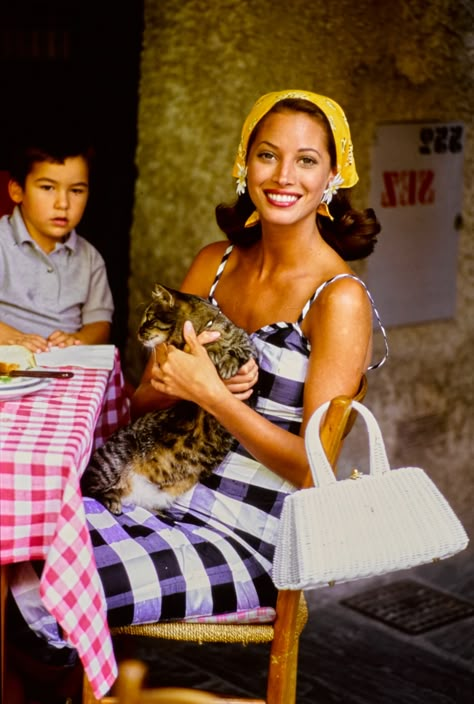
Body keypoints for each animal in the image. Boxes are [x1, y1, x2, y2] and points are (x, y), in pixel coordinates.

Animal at [80, 284, 258, 516]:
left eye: (149, 318)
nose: (138, 332)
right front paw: (214, 352)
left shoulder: (250, 361)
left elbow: (240, 346)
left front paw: (225, 359)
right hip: (113, 460)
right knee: (88, 486)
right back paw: (111, 501)